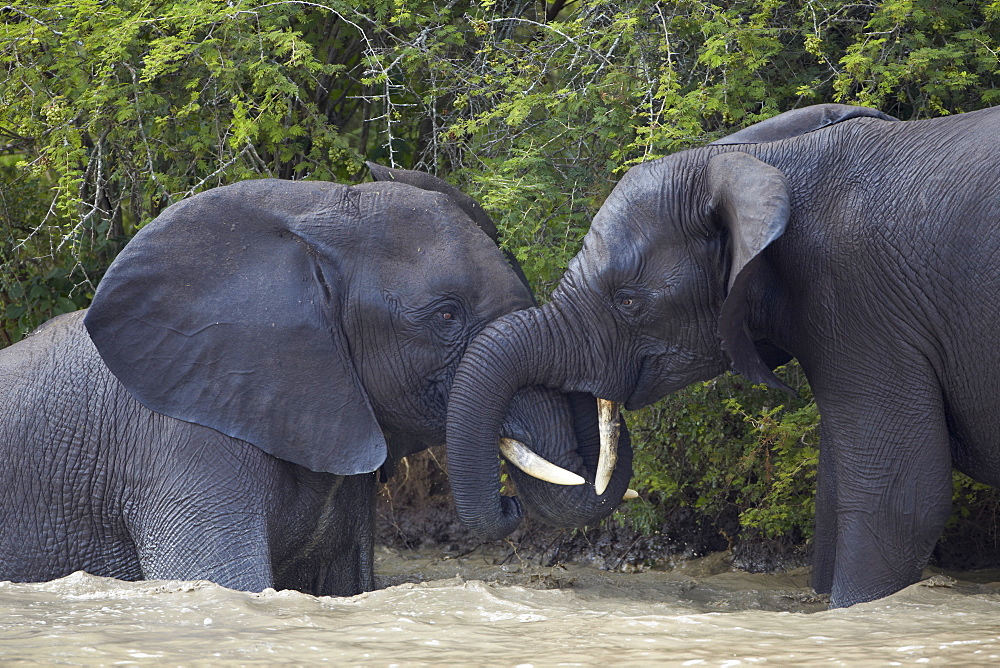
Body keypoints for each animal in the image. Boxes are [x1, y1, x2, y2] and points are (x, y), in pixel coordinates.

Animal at [446, 103, 1000, 604]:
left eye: (628, 301)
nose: (509, 505)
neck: (760, 160)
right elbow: (838, 494)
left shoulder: (861, 297)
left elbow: (902, 501)